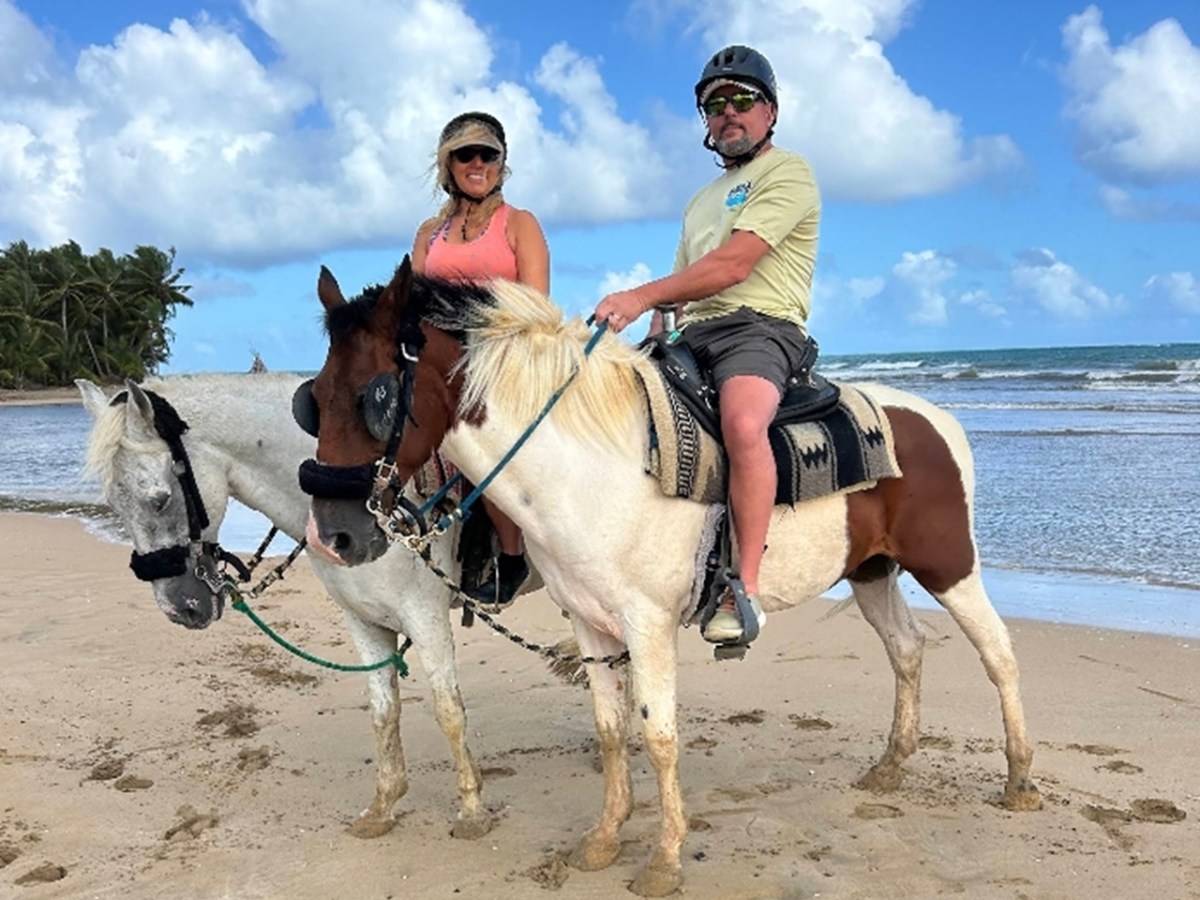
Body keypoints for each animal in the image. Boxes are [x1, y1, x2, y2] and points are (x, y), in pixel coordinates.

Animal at [77, 372, 496, 841]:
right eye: (114, 506)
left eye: (160, 500)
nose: (178, 608)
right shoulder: (364, 621)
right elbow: (384, 711)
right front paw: (382, 807)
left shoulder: (425, 616)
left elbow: (448, 711)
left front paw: (472, 811)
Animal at [299, 260, 1040, 897]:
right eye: (313, 400)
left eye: (377, 394)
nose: (334, 537)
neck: (586, 470)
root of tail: (934, 418)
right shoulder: (589, 622)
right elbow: (609, 729)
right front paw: (603, 840)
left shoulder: (648, 625)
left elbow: (657, 737)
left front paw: (663, 861)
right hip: (871, 570)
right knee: (907, 648)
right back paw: (891, 766)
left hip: (948, 564)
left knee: (1000, 655)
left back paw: (1020, 780)